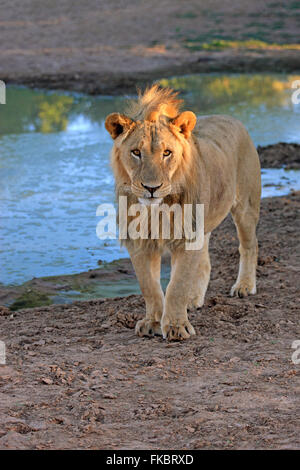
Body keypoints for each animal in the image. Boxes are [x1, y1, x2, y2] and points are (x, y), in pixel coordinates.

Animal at [105, 85, 260, 342]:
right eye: (136, 152)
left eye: (167, 153)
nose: (151, 188)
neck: (157, 209)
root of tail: (231, 118)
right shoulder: (139, 241)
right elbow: (150, 287)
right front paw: (153, 322)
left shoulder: (187, 237)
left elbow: (176, 286)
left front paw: (177, 327)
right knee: (205, 263)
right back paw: (193, 299)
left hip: (245, 207)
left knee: (249, 245)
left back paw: (244, 287)